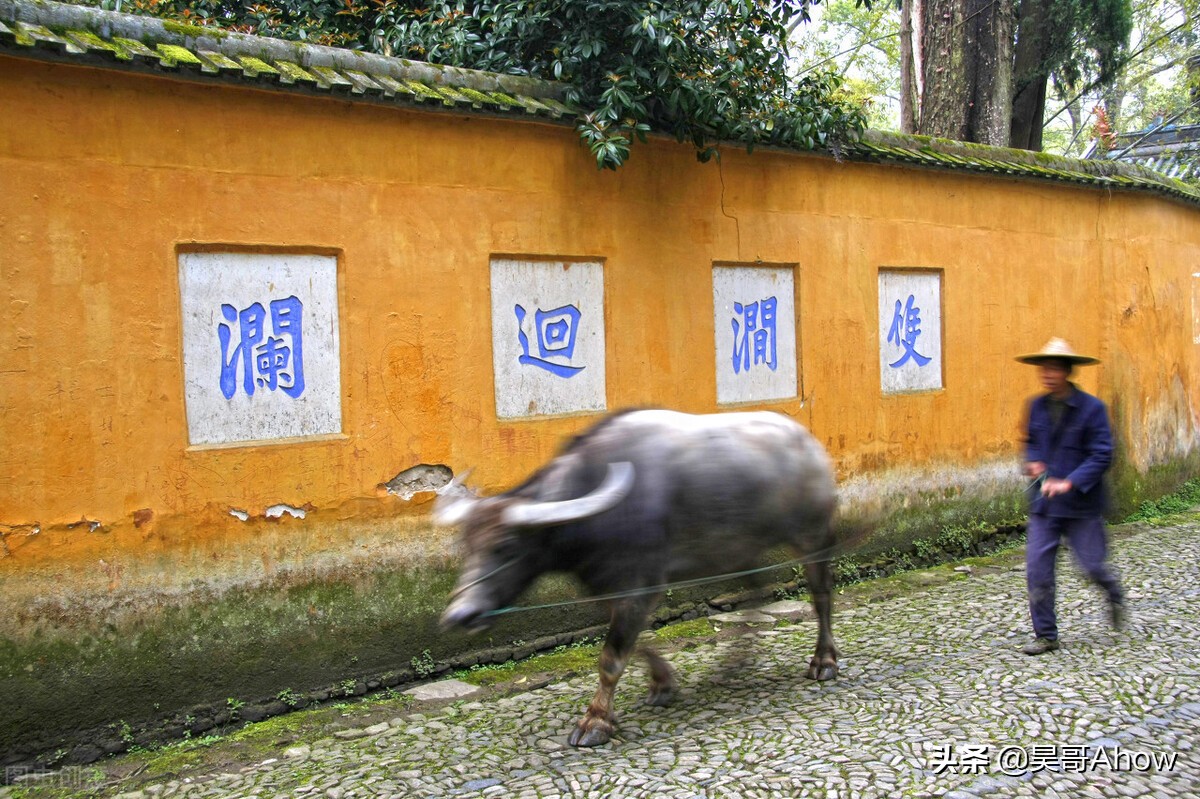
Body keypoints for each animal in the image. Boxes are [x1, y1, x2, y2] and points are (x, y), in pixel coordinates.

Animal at [436, 407, 840, 743]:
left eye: (506, 547)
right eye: (466, 544)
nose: (461, 615)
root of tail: (809, 445)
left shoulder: (639, 586)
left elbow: (611, 658)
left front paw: (596, 722)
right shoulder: (608, 589)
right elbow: (636, 643)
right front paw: (663, 684)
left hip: (813, 537)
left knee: (821, 596)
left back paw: (824, 661)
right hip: (741, 549)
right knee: (756, 593)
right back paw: (735, 663)